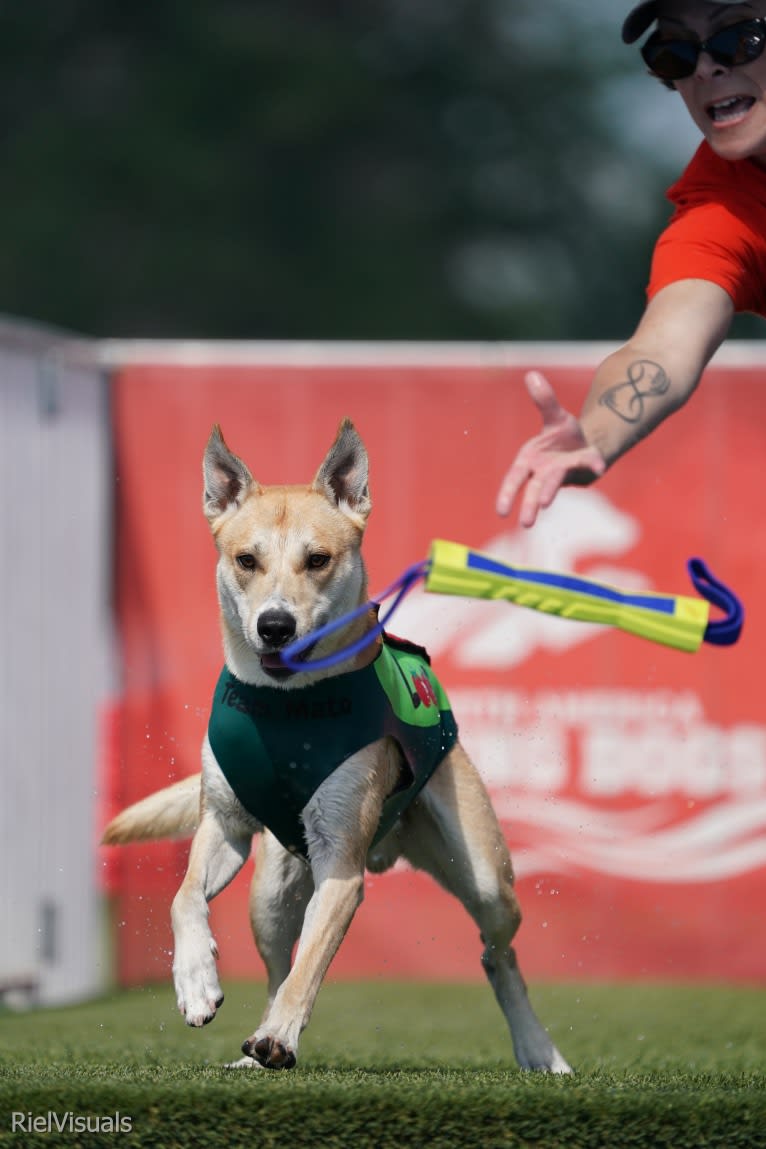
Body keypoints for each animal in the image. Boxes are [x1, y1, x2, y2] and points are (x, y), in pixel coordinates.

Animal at [103, 420, 569, 1075]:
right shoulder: (223, 825)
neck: (288, 706)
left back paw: (539, 1051)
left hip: (485, 878)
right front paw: (196, 983)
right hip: (271, 893)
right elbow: (183, 897)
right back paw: (251, 1048)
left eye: (318, 560)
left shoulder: (342, 866)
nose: (275, 626)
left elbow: (311, 968)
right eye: (246, 560)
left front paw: (278, 1038)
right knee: (277, 962)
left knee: (497, 957)